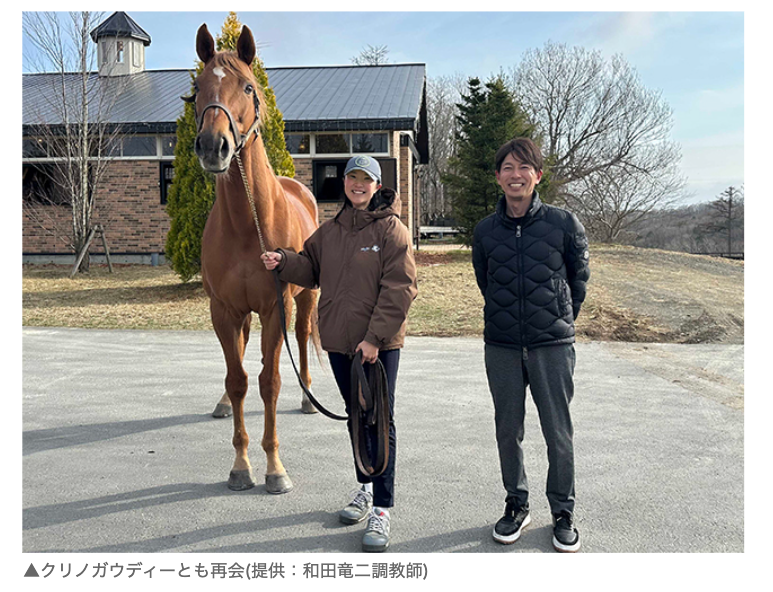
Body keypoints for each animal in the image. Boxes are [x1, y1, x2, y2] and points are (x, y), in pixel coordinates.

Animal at [190, 23, 320, 494]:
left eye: (248, 86)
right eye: (197, 88)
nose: (214, 146)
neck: (249, 224)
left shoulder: (275, 306)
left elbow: (270, 381)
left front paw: (274, 467)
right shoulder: (224, 309)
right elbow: (239, 379)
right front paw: (241, 465)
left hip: (304, 301)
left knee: (302, 339)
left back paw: (309, 397)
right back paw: (223, 404)